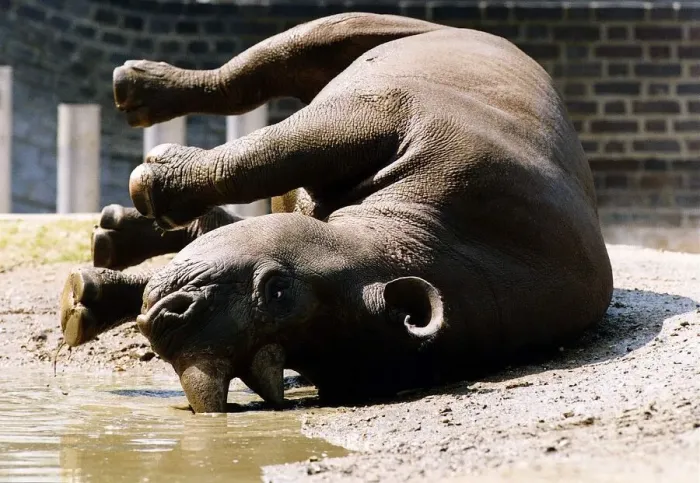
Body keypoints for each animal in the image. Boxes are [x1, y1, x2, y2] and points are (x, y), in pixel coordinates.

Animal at [59, 13, 613, 413]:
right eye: (277, 288)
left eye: (275, 367)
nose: (172, 330)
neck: (409, 237)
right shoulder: (393, 116)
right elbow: (272, 152)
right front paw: (150, 182)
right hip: (428, 46)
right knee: (284, 56)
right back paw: (134, 96)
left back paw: (95, 271)